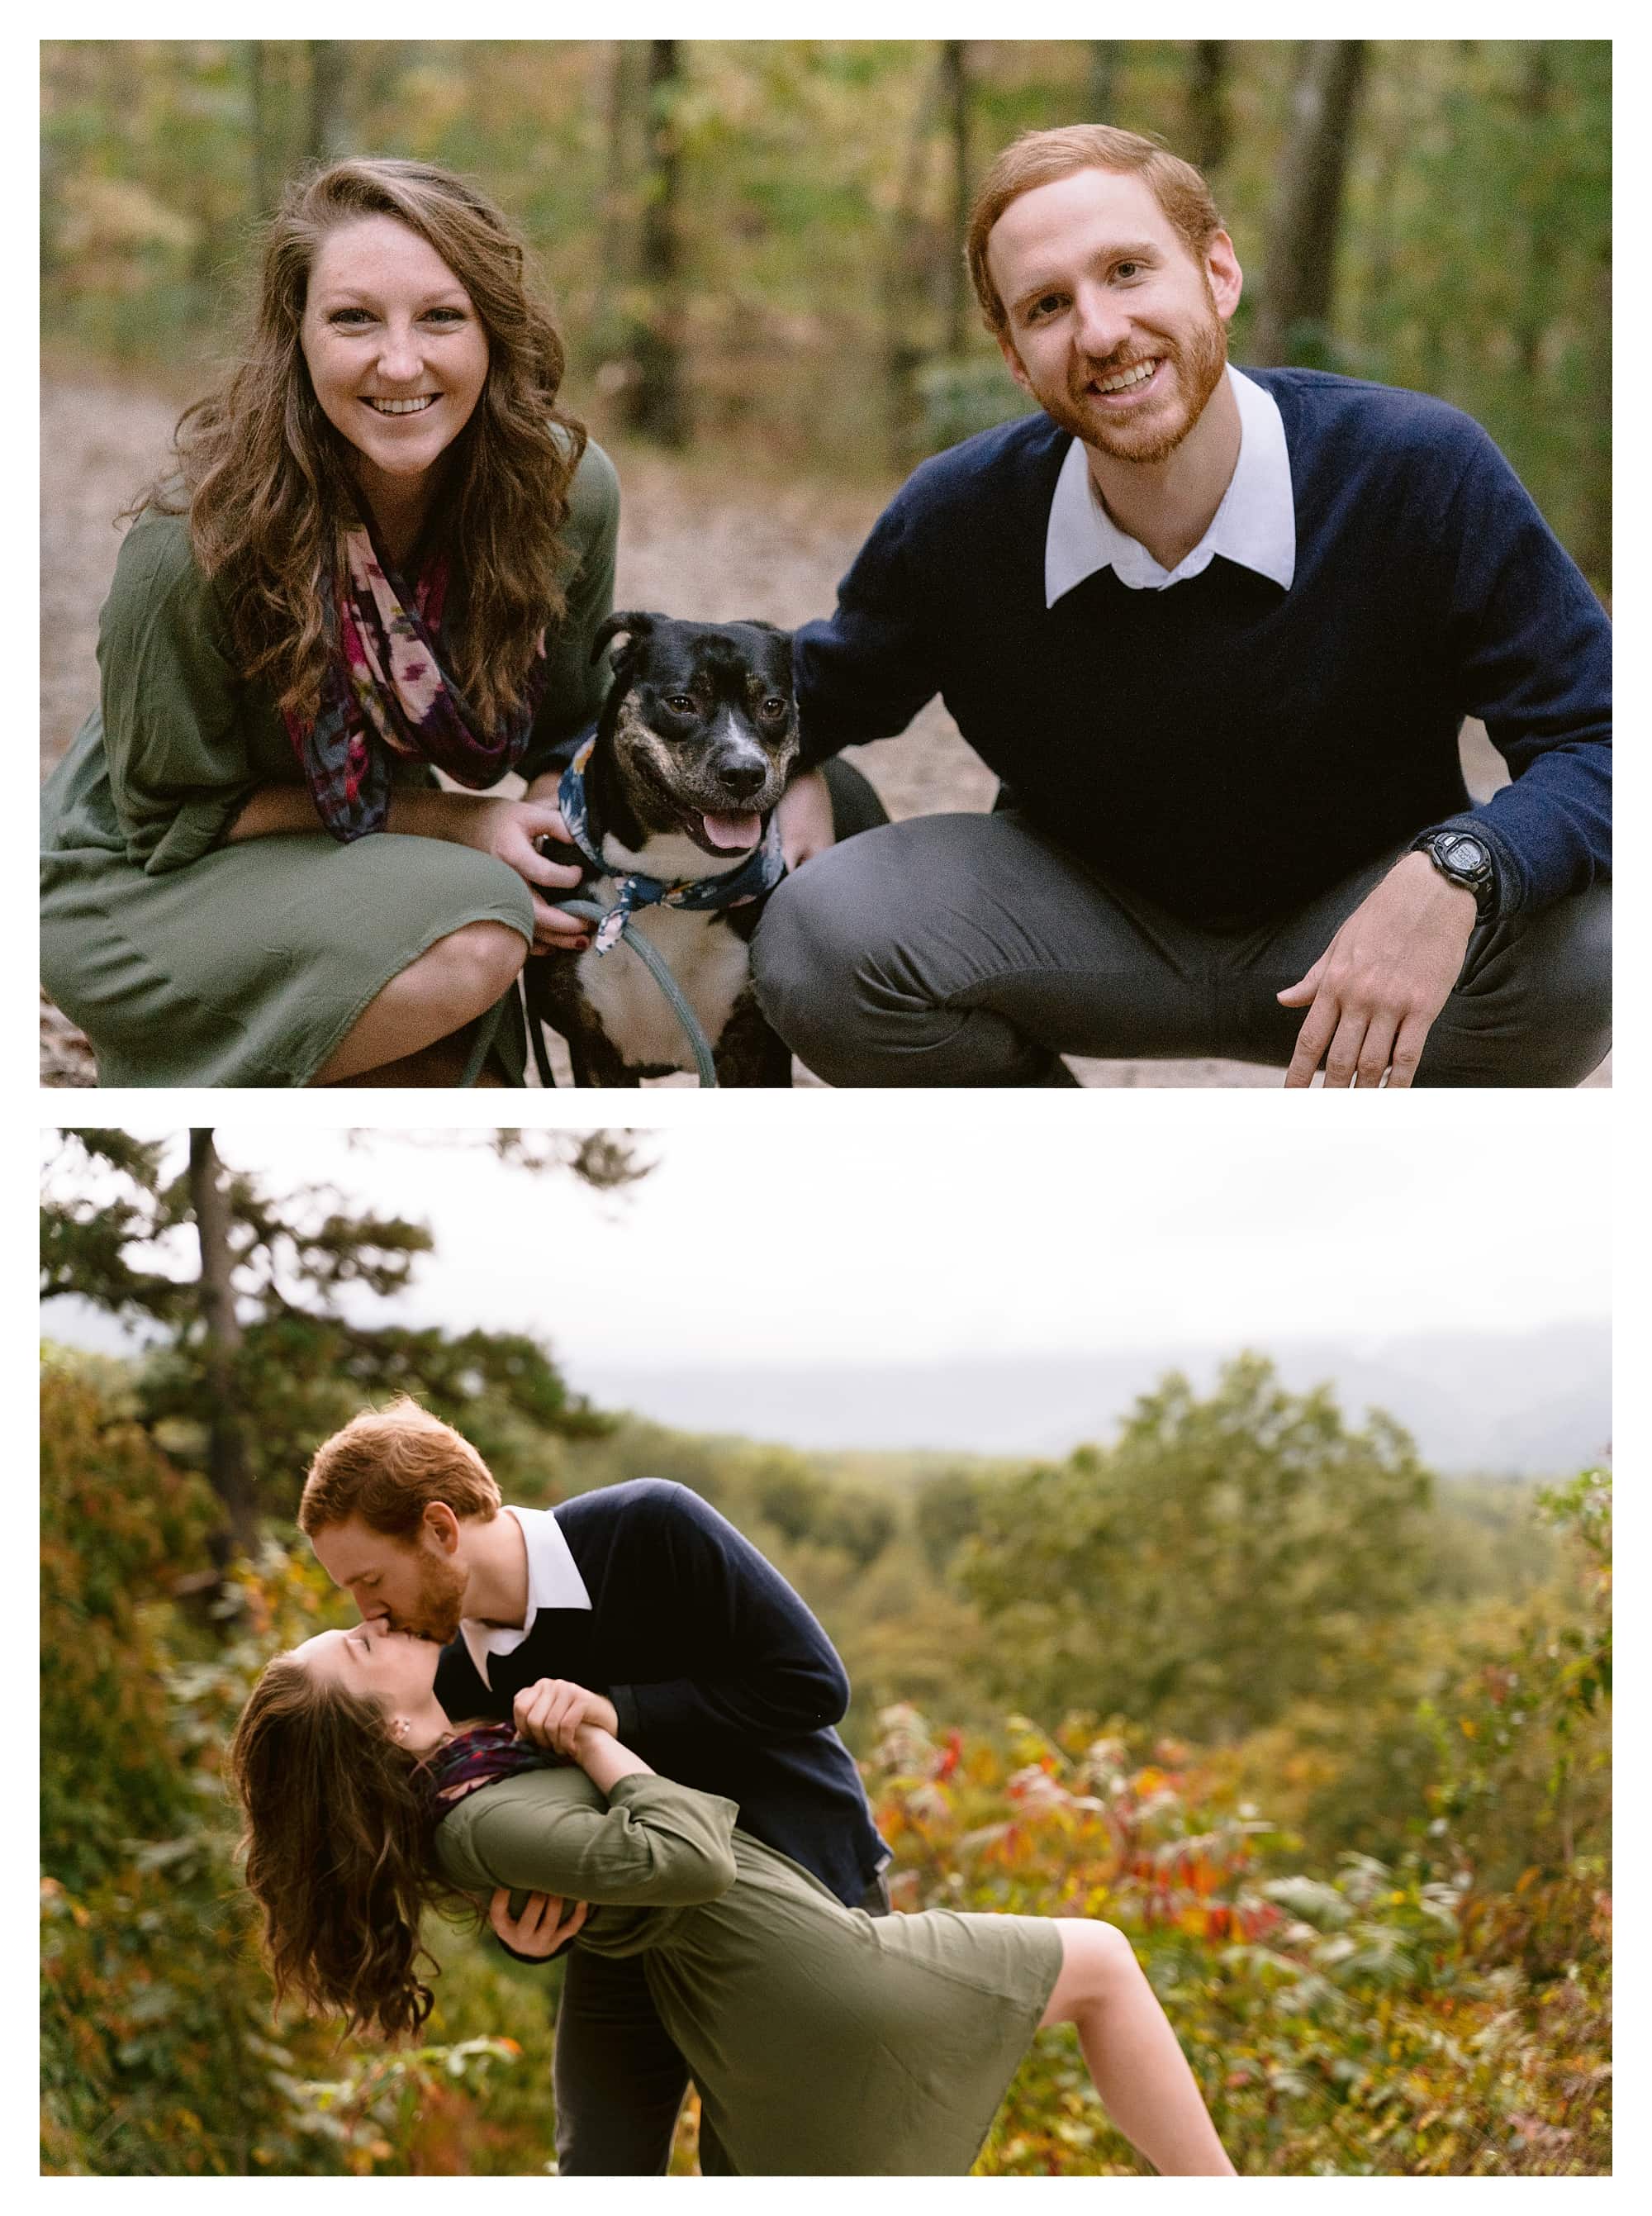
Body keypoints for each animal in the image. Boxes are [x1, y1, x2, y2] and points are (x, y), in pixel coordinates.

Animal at [518, 611, 792, 1086]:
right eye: (681, 703)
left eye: (773, 706)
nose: (744, 772)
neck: (666, 882)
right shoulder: (595, 1054)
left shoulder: (758, 1053)